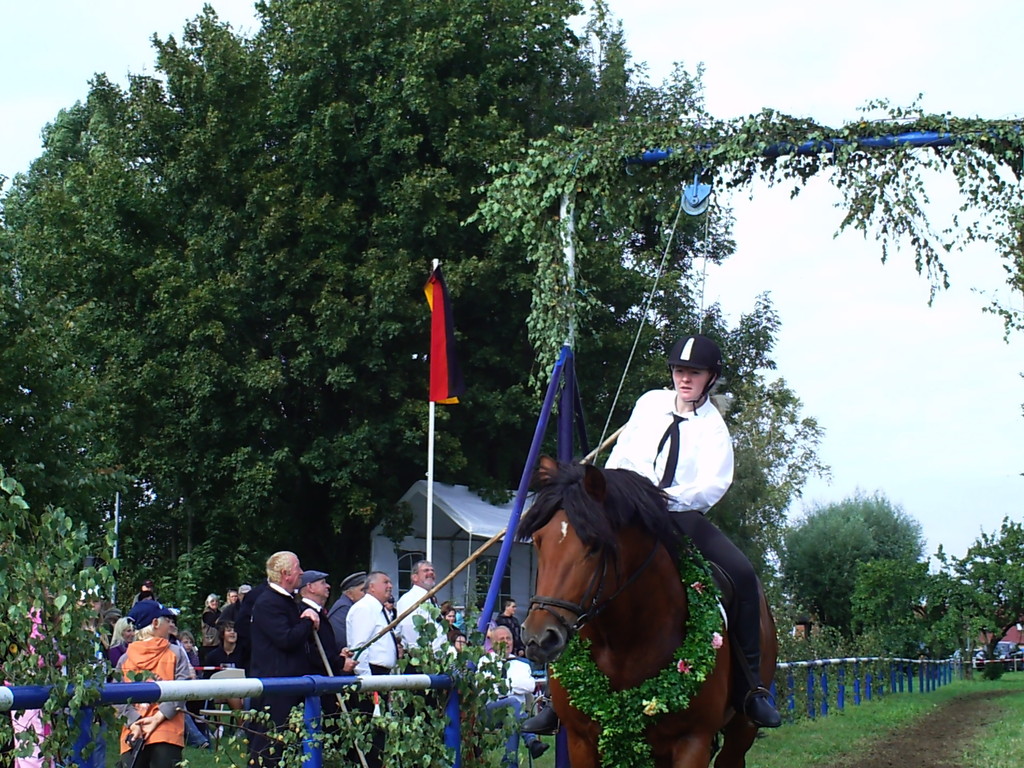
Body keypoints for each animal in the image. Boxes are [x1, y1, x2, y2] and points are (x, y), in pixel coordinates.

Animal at [518, 457, 777, 768]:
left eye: (595, 544)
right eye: (538, 540)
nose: (538, 638)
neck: (624, 643)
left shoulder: (693, 740)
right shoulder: (580, 740)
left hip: (741, 730)